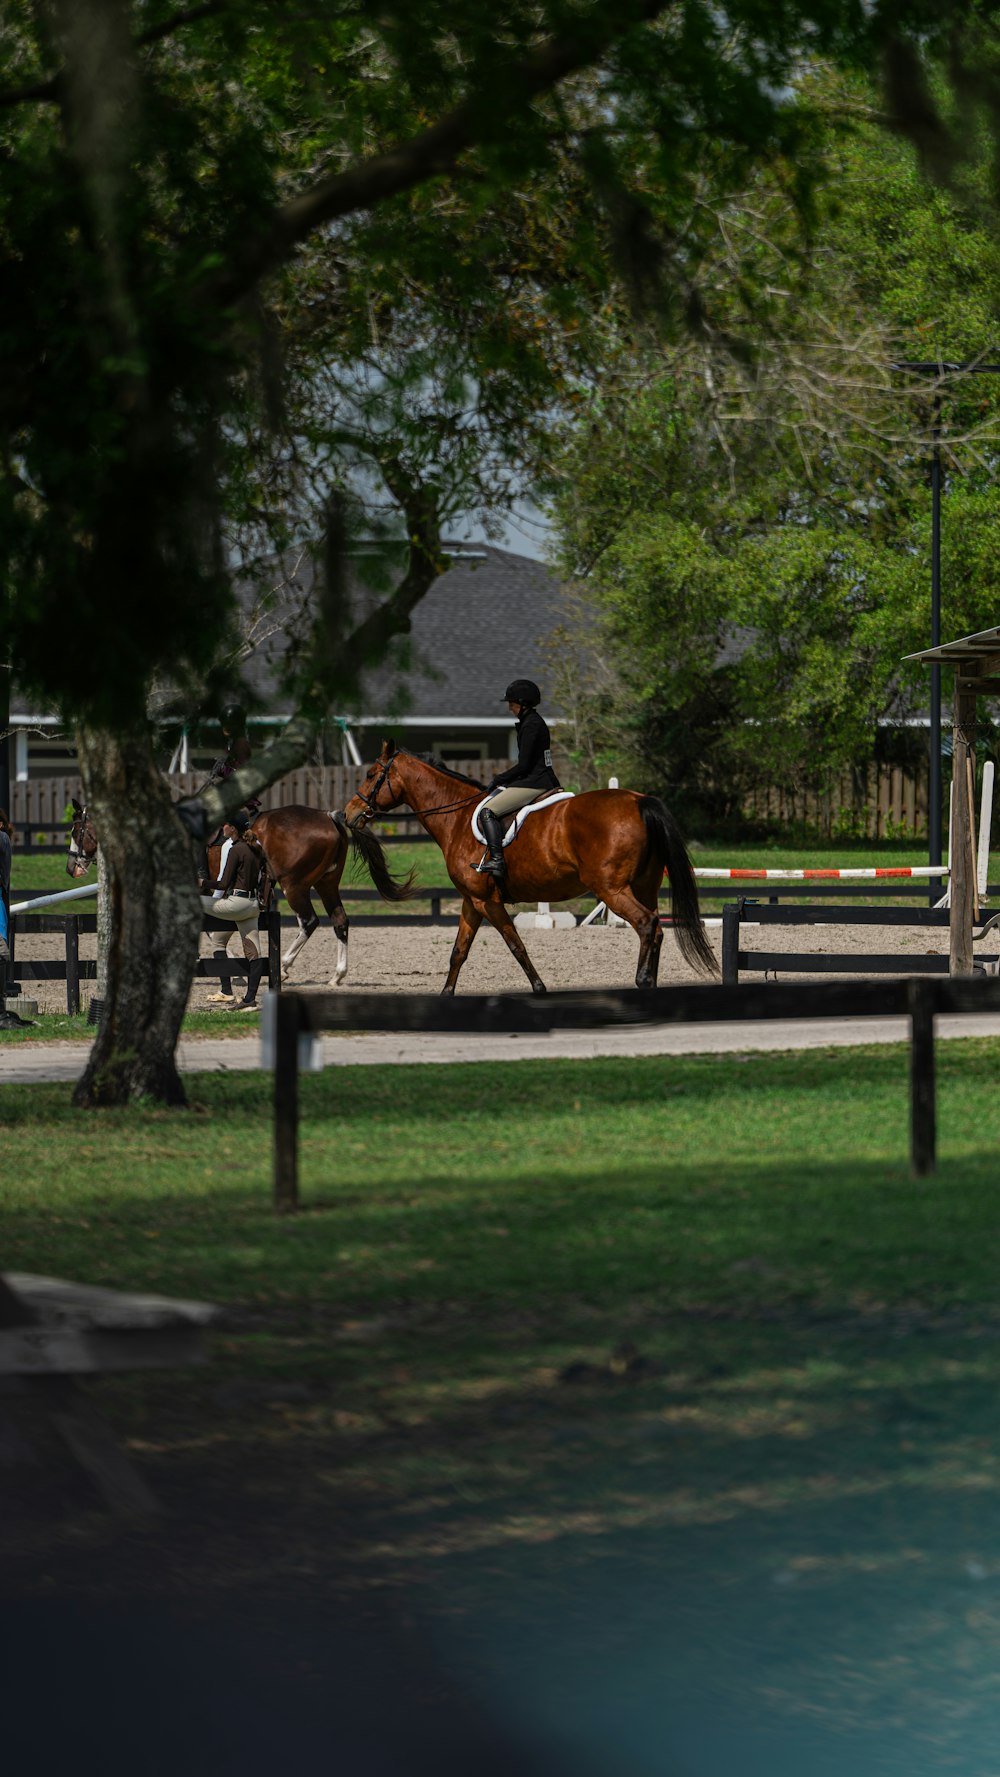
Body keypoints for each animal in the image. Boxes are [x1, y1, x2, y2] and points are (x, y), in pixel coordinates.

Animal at [348, 746, 717, 1002]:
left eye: (371, 774)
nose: (350, 813)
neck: (457, 817)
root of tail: (639, 801)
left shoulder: (487, 901)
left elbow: (516, 944)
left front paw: (539, 988)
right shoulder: (471, 901)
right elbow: (459, 951)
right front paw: (446, 995)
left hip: (611, 889)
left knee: (645, 924)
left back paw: (642, 982)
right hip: (644, 885)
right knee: (657, 928)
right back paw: (652, 985)